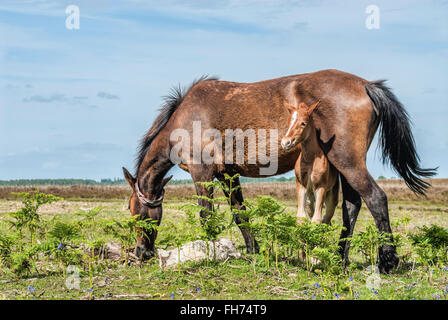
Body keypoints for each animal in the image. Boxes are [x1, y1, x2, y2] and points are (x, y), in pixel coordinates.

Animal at [121, 69, 434, 272]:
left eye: (135, 212)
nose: (140, 252)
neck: (186, 118)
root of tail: (366, 85)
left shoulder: (203, 173)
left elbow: (206, 215)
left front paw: (208, 253)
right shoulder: (228, 174)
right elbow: (240, 213)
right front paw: (252, 251)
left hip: (348, 161)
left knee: (376, 199)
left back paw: (387, 261)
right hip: (343, 166)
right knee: (352, 205)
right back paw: (339, 257)